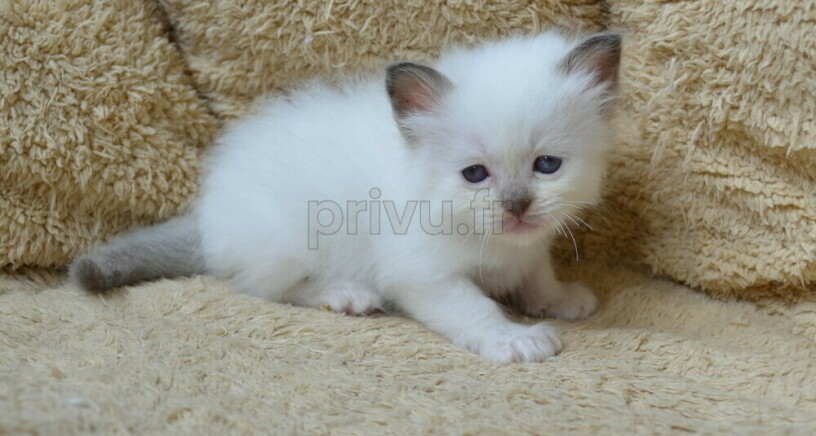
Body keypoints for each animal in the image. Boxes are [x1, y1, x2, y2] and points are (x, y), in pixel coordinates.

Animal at [71, 32, 620, 362]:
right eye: (474, 174)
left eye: (547, 165)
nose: (516, 205)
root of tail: (209, 212)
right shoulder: (424, 275)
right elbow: (475, 308)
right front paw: (515, 338)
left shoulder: (531, 247)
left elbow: (536, 275)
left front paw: (558, 299)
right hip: (288, 239)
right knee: (262, 288)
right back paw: (345, 295)